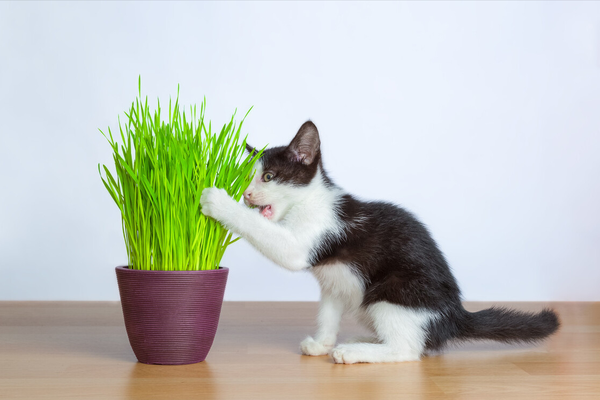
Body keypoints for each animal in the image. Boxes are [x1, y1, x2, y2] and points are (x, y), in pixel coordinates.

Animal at [200, 120, 556, 364]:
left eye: (268, 177)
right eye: (247, 179)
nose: (246, 196)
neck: (310, 201)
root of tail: (454, 315)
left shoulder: (313, 237)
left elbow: (277, 242)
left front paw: (217, 201)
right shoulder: (334, 282)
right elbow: (328, 311)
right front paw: (321, 343)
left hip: (392, 293)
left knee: (408, 350)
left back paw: (355, 352)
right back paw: (364, 341)